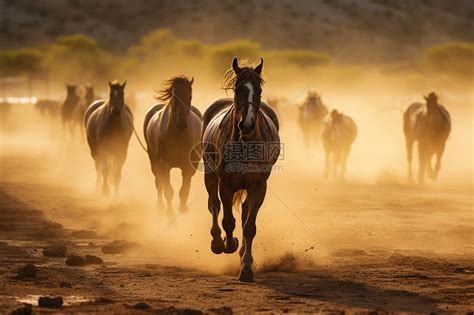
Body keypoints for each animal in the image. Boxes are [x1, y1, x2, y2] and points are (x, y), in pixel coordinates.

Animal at [144, 76, 204, 220]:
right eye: (174, 97)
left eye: (190, 96)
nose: (181, 124)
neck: (177, 135)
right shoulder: (164, 164)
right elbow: (168, 190)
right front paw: (170, 214)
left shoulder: (188, 165)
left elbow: (184, 189)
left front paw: (183, 208)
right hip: (153, 161)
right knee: (158, 183)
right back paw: (160, 207)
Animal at [201, 58, 282, 282]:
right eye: (237, 89)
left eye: (259, 90)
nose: (247, 125)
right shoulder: (226, 185)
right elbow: (228, 220)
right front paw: (229, 244)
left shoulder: (258, 187)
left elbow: (249, 226)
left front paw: (246, 266)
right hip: (209, 175)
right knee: (214, 205)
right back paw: (217, 243)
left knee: (244, 212)